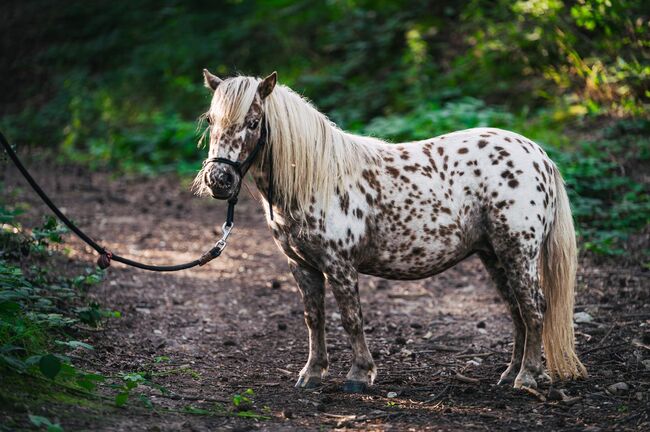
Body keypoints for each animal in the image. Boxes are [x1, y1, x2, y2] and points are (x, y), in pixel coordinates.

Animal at [195, 70, 584, 392]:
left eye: (253, 122)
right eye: (212, 120)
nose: (219, 180)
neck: (315, 179)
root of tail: (538, 155)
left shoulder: (340, 266)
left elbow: (351, 318)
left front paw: (359, 374)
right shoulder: (302, 266)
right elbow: (314, 319)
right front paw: (313, 373)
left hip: (518, 252)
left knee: (534, 308)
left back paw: (528, 376)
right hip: (494, 255)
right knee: (517, 311)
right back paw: (510, 374)